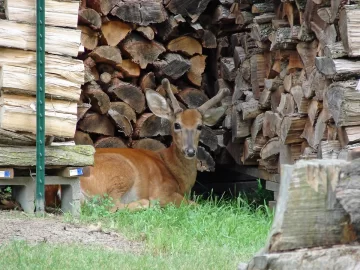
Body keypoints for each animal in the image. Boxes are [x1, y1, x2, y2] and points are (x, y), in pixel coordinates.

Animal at [79, 78, 231, 211]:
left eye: (200, 126)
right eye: (177, 125)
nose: (190, 151)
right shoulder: (161, 191)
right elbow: (195, 204)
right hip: (120, 173)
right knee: (113, 206)